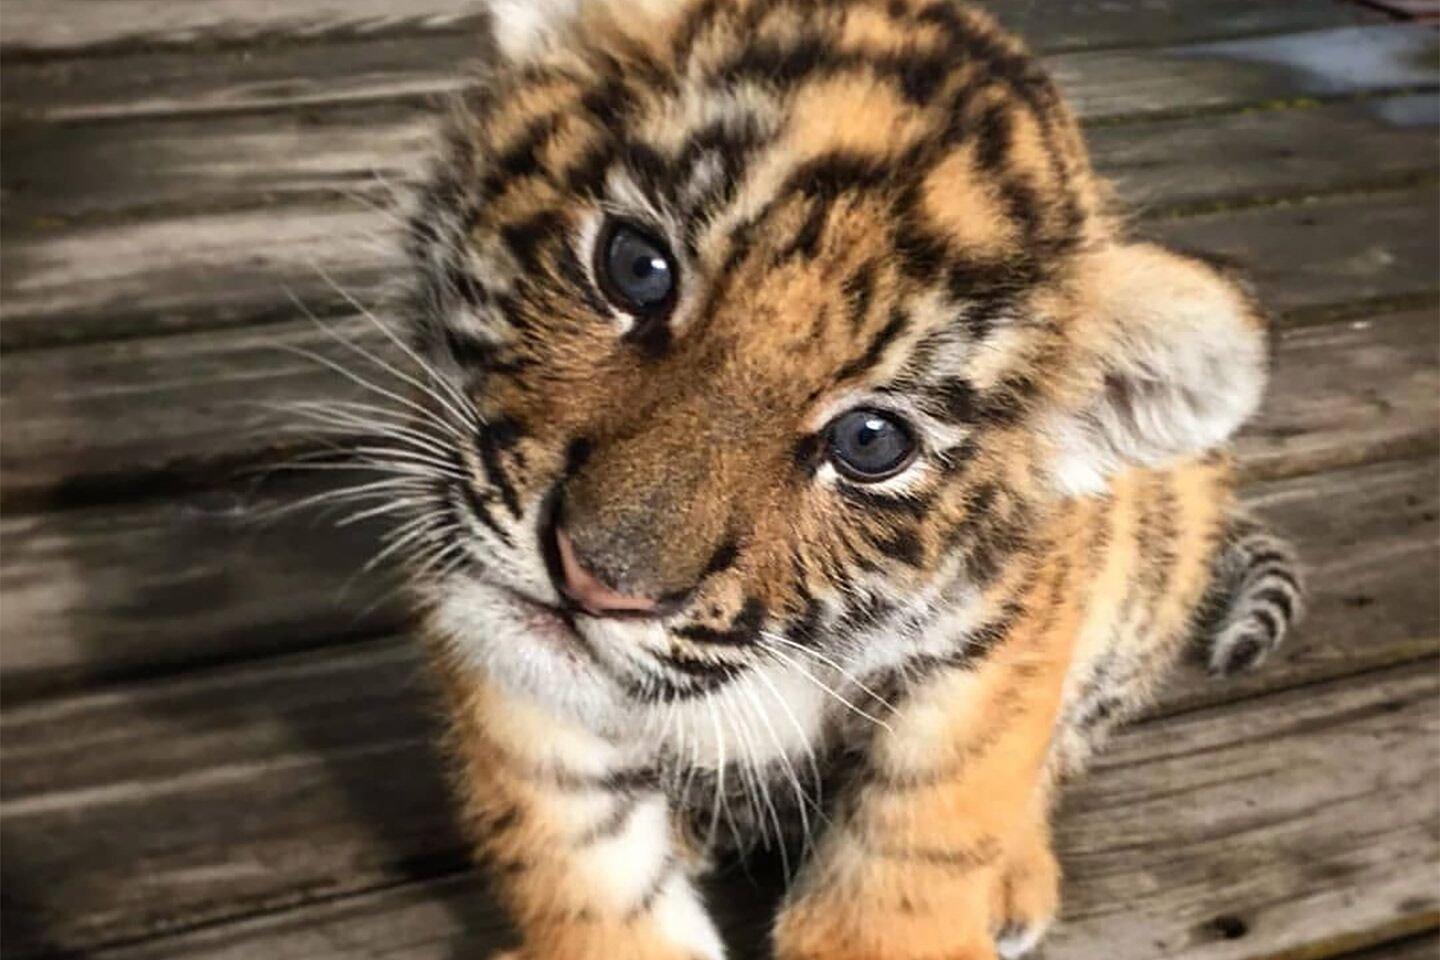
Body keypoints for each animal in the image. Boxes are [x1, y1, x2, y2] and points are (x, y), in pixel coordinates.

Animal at [380, 0, 1306, 957]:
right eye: (636, 267)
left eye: (869, 442)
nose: (594, 581)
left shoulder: (997, 641)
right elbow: (570, 846)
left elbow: (936, 820)